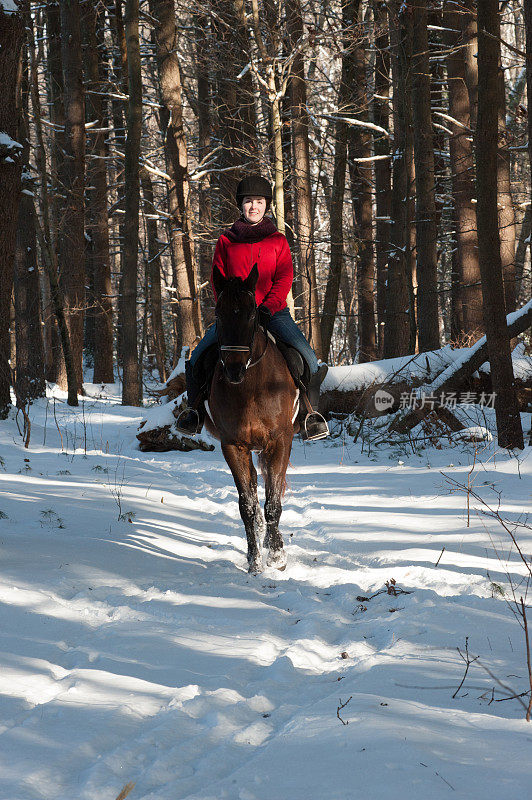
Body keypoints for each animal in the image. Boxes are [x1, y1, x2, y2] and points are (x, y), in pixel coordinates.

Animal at [205, 266, 300, 572]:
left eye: (251, 314)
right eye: (218, 314)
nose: (234, 370)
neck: (251, 388)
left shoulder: (280, 441)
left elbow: (274, 502)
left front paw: (277, 555)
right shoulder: (233, 446)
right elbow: (246, 505)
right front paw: (254, 562)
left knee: (271, 486)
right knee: (257, 486)